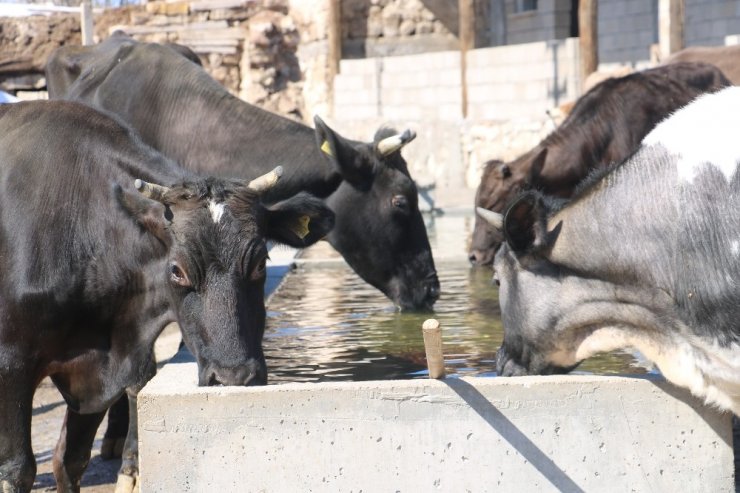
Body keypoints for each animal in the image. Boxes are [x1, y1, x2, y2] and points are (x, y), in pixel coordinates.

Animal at [0, 98, 332, 490]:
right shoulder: (11, 365)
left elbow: (70, 460)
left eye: (260, 263)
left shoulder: (95, 376)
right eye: (177, 270)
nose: (234, 380)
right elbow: (18, 469)